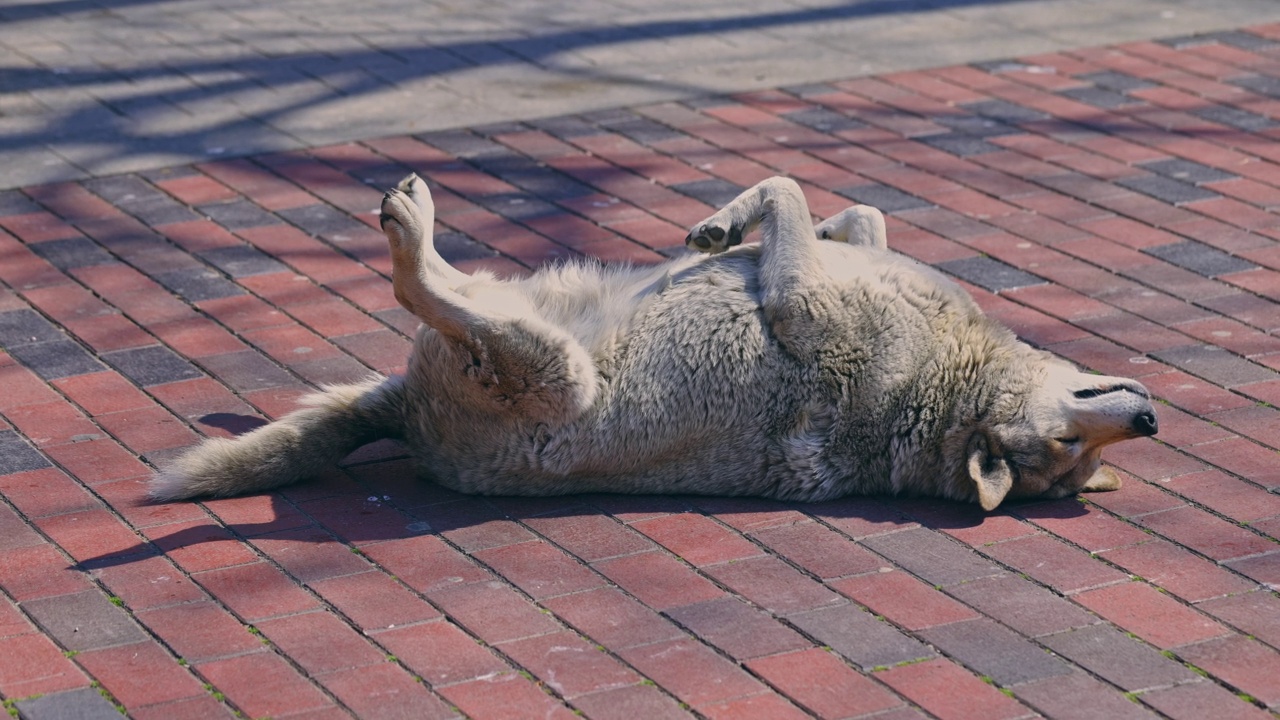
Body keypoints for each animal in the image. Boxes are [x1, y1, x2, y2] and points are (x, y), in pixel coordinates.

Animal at [152, 175, 1162, 509]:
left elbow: (787, 191)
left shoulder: (802, 300)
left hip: (549, 368)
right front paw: (736, 227)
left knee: (427, 291)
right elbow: (843, 212)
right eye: (1074, 446)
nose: (1150, 422)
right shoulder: (829, 269)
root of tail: (413, 429)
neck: (940, 390)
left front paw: (728, 224)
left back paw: (413, 231)